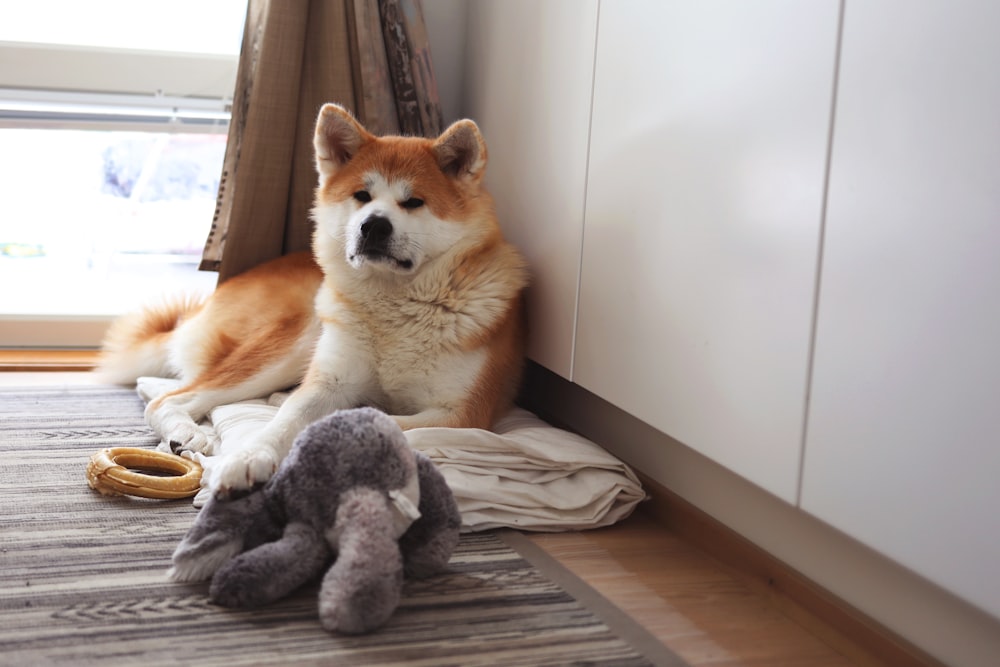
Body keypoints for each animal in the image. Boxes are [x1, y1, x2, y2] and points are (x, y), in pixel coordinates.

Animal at [96, 104, 528, 496]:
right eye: (361, 196)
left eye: (413, 202)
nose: (373, 226)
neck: (395, 305)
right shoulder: (329, 380)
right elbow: (288, 420)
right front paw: (247, 457)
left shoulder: (463, 414)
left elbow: (377, 419)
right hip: (298, 336)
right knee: (171, 397)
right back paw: (191, 434)